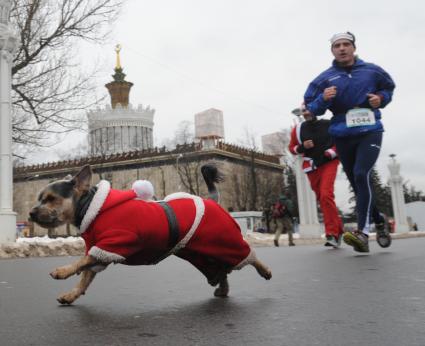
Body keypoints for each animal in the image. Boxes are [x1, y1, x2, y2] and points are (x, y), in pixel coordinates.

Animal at [29, 165, 272, 306]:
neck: (91, 208)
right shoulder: (100, 251)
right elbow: (85, 278)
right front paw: (71, 294)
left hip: (225, 240)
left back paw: (265, 271)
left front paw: (62, 271)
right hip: (201, 255)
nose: (31, 212)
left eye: (50, 199)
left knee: (250, 256)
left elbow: (81, 262)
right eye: (39, 198)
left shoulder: (115, 243)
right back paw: (223, 289)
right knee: (222, 271)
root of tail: (210, 200)